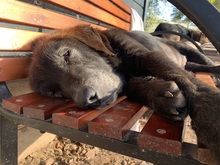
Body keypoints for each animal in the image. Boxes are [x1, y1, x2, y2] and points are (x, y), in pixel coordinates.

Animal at [29, 24, 220, 162]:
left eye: (66, 54)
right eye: (56, 93)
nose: (88, 101)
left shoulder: (145, 55)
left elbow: (177, 74)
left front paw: (211, 117)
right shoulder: (126, 80)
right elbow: (135, 86)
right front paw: (160, 96)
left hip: (184, 48)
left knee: (204, 63)